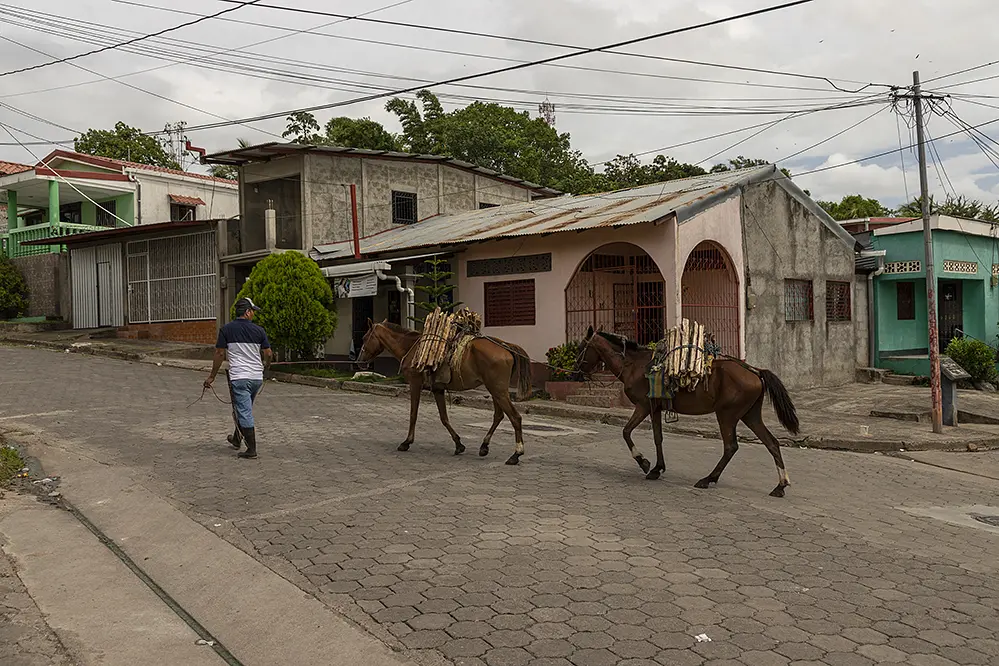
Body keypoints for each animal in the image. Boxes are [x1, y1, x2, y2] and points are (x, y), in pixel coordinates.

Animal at [356, 320, 536, 464]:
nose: (359, 361)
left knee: (515, 417)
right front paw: (458, 444)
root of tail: (504, 345)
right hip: (494, 390)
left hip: (498, 390)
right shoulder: (438, 389)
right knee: (498, 415)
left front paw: (406, 442)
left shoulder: (415, 384)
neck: (412, 348)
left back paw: (516, 454)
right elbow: (444, 418)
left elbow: (413, 414)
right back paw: (484, 446)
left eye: (365, 338)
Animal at [580, 324, 796, 496]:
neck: (634, 365)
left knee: (731, 447)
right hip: (750, 415)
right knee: (772, 443)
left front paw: (643, 462)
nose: (576, 371)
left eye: (581, 348)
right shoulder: (655, 408)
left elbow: (626, 432)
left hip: (727, 415)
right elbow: (657, 437)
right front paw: (657, 469)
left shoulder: (643, 406)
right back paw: (780, 485)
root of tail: (755, 371)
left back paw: (708, 479)